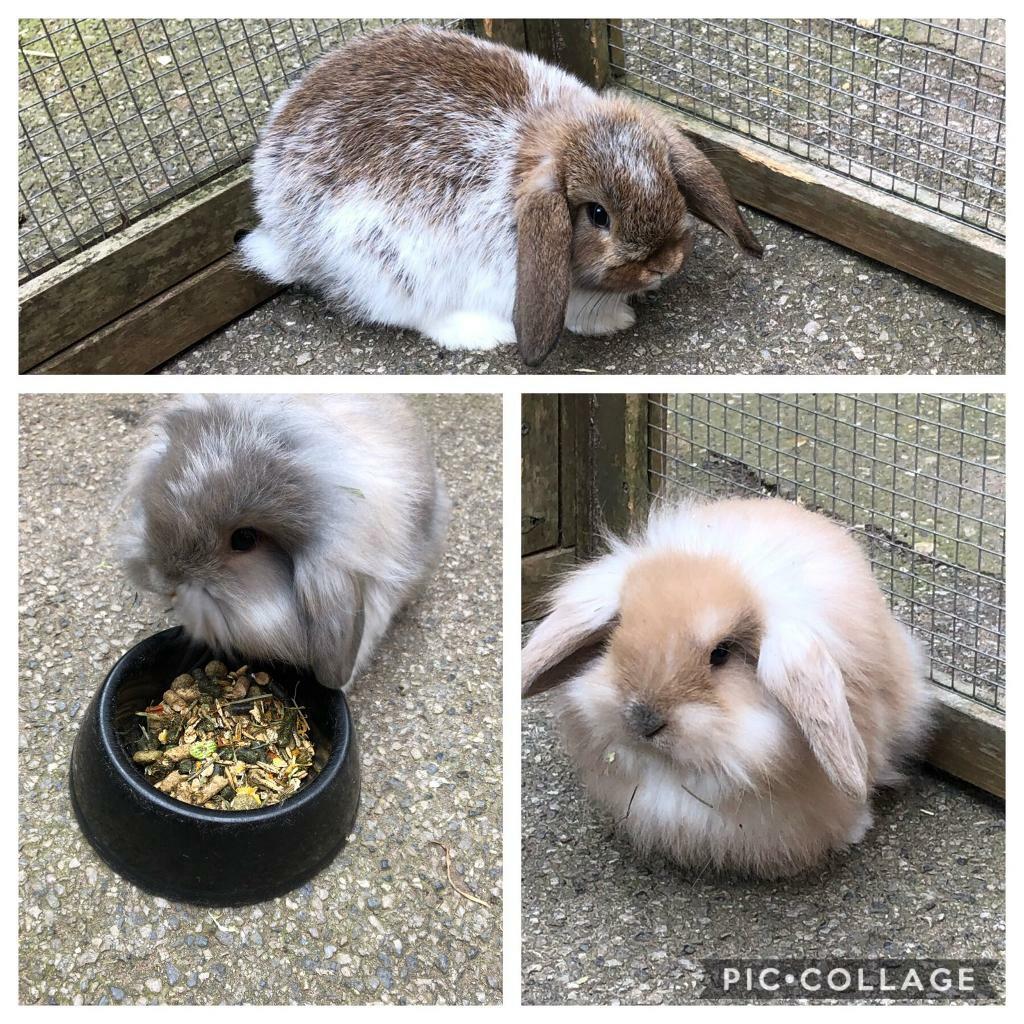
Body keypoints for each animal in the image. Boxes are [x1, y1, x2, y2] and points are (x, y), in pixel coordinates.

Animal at [238, 25, 762, 366]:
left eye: (671, 184)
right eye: (598, 215)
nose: (662, 265)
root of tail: (279, 226)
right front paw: (614, 320)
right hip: (385, 261)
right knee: (411, 313)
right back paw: (478, 333)